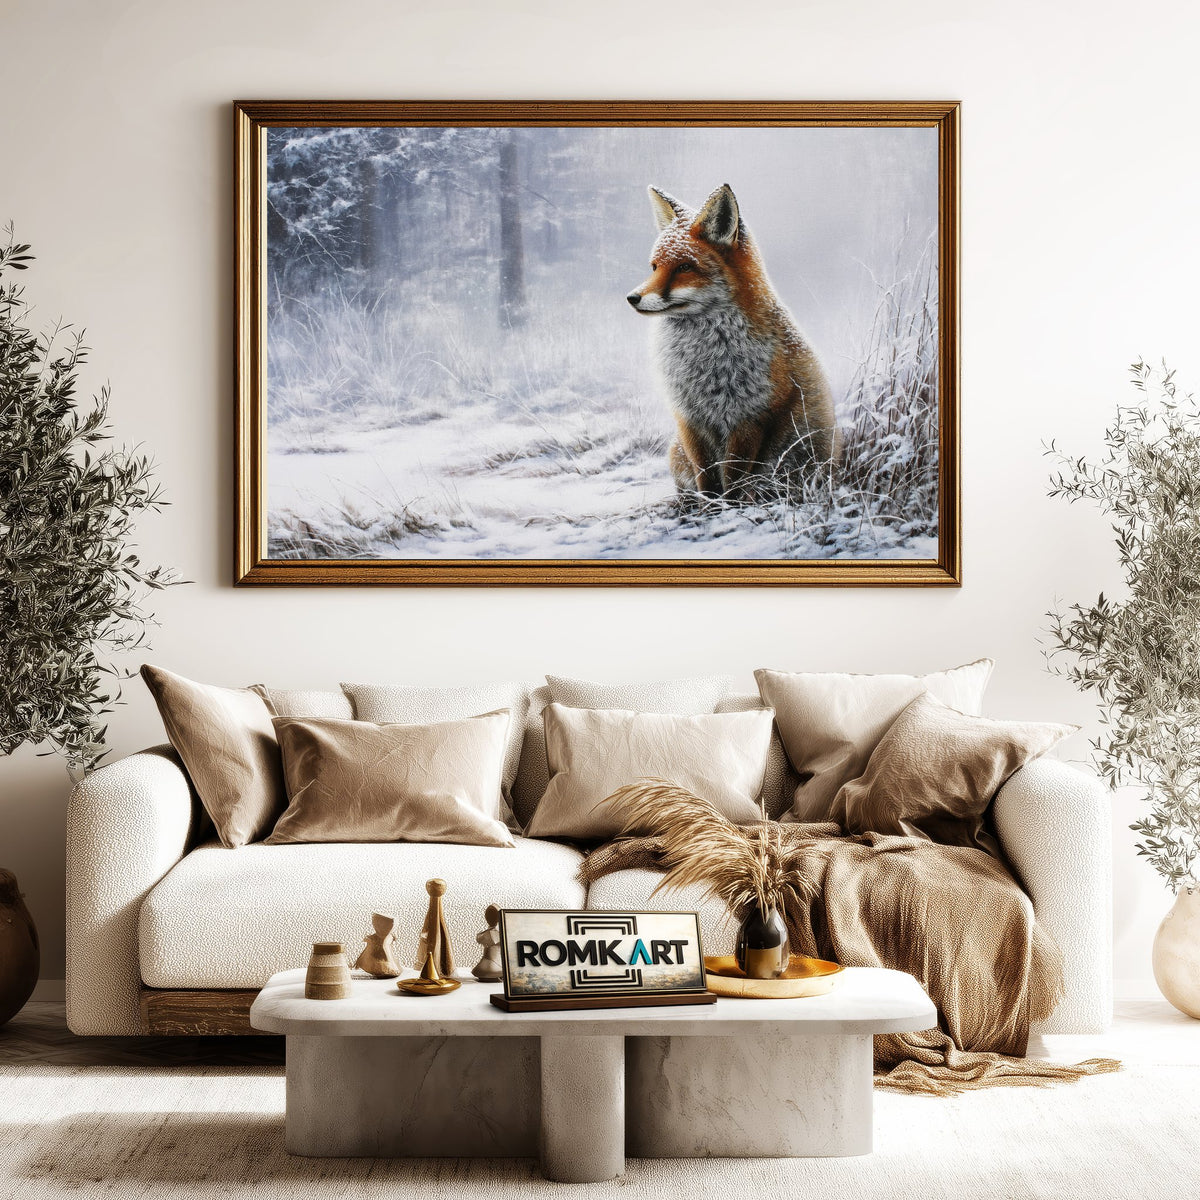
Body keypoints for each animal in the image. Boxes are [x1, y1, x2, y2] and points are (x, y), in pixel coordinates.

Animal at [627, 183, 839, 501]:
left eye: (684, 267)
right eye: (654, 267)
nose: (633, 298)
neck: (703, 363)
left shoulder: (749, 417)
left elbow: (734, 480)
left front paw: (731, 509)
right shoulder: (690, 418)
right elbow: (706, 476)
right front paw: (710, 508)